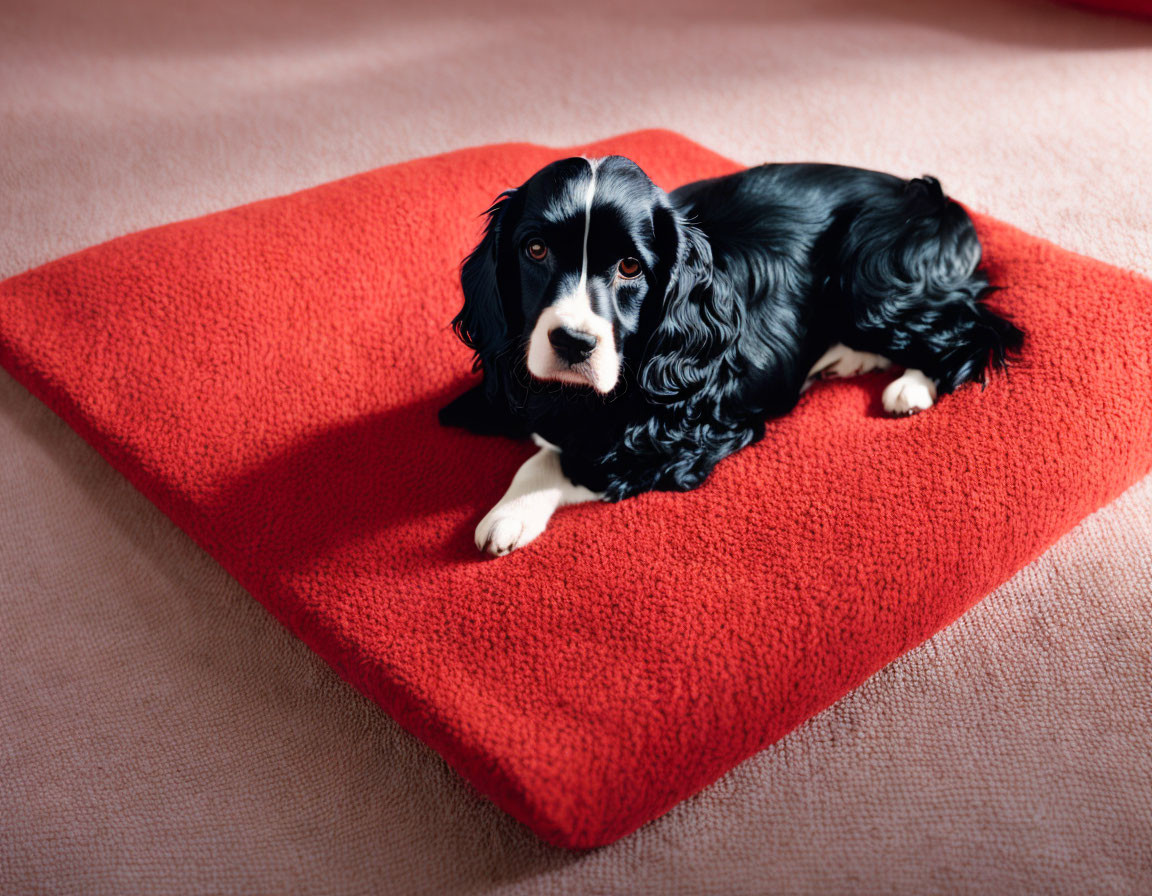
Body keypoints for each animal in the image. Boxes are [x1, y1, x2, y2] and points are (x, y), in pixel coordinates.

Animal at [440, 156, 1027, 555]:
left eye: (631, 267)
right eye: (535, 250)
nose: (572, 342)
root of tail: (933, 198)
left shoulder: (688, 433)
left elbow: (567, 455)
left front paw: (510, 512)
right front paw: (480, 405)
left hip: (875, 271)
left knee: (973, 326)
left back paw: (910, 386)